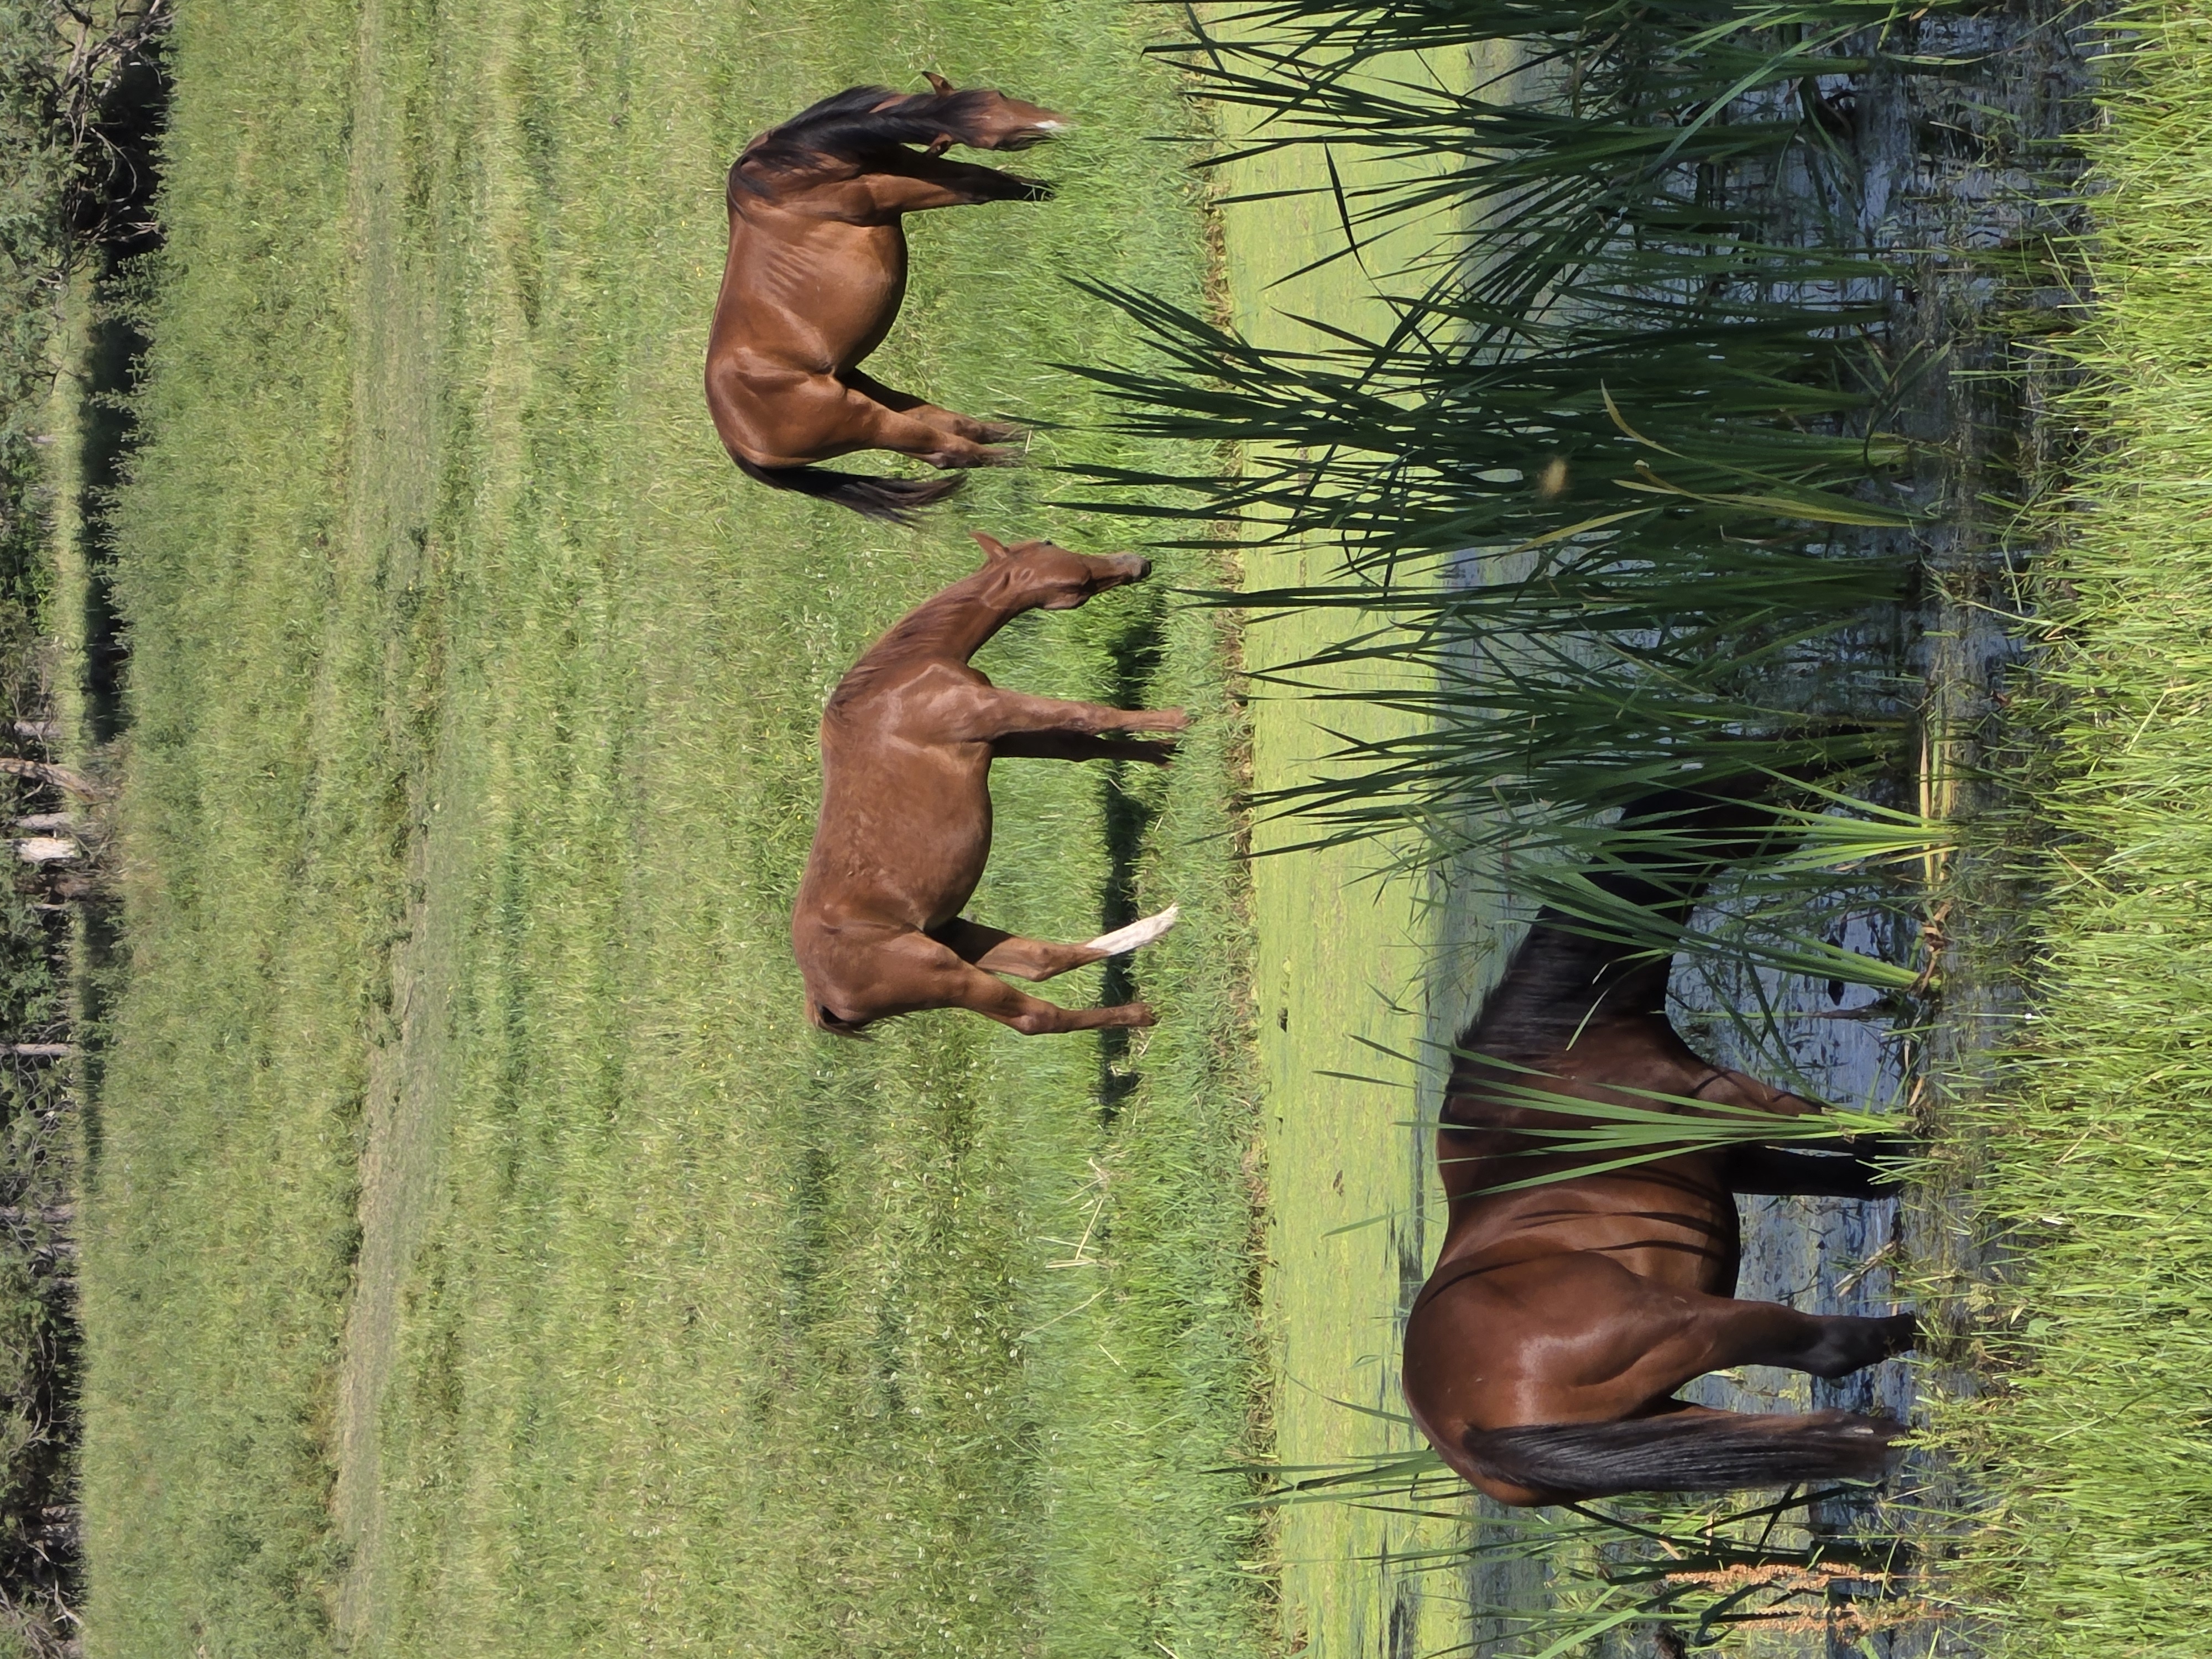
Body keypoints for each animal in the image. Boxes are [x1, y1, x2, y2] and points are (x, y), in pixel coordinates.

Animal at [707, 77, 1065, 524]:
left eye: (997, 96)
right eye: (995, 136)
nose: (1059, 124)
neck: (783, 175)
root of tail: (735, 441)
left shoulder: (919, 167)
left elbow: (992, 181)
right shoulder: (895, 190)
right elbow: (983, 188)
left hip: (866, 388)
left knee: (957, 426)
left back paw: (1031, 433)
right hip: (869, 421)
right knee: (951, 450)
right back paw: (1028, 459)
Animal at [792, 533, 1187, 1035]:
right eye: (1054, 550)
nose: (1137, 562)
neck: (897, 680)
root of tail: (820, 998)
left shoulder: (999, 739)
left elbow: (1079, 745)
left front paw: (1167, 756)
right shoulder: (993, 712)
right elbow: (1088, 715)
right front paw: (1182, 719)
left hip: (954, 933)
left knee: (1042, 960)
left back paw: (1162, 923)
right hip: (948, 975)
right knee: (1037, 1015)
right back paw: (1141, 1006)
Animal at [1401, 787, 1920, 1506]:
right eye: (1739, 803)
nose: (1816, 801)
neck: (1552, 1051)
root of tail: (1464, 1431)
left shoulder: (1732, 1158)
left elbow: (1848, 1175)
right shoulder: (1732, 1102)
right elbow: (1833, 1128)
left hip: (1658, 1413)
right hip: (1687, 1322)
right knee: (1825, 1347)